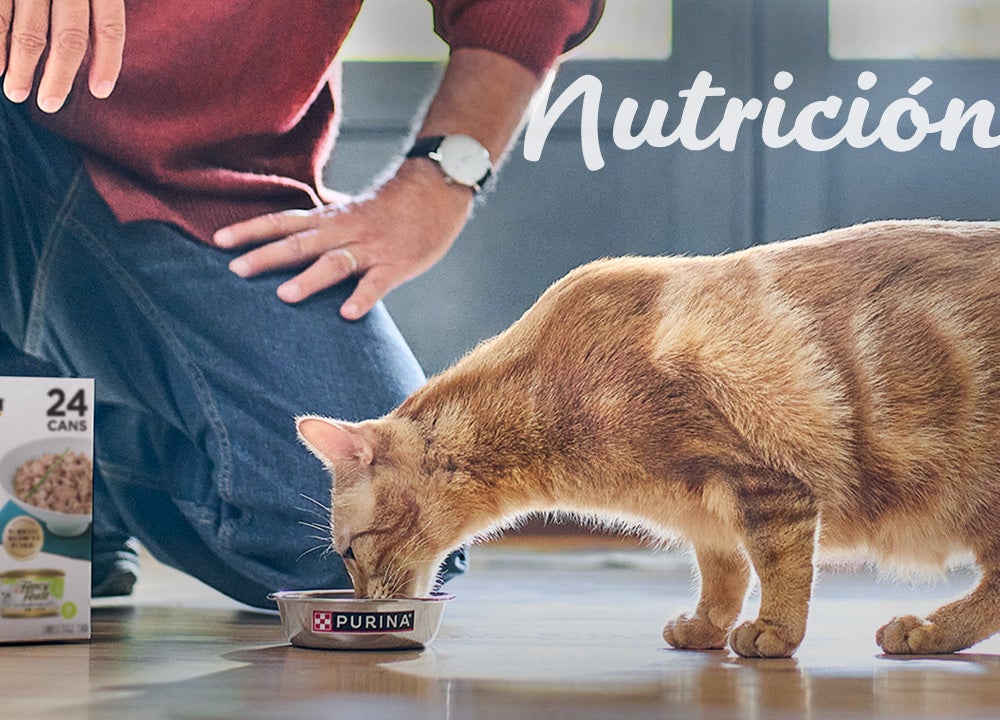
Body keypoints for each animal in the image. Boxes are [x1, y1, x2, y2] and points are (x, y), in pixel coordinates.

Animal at [294, 219, 1000, 660]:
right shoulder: (708, 515)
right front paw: (707, 627)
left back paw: (923, 630)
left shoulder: (765, 487)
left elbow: (779, 570)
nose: (363, 600)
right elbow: (722, 574)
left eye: (350, 551)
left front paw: (774, 632)